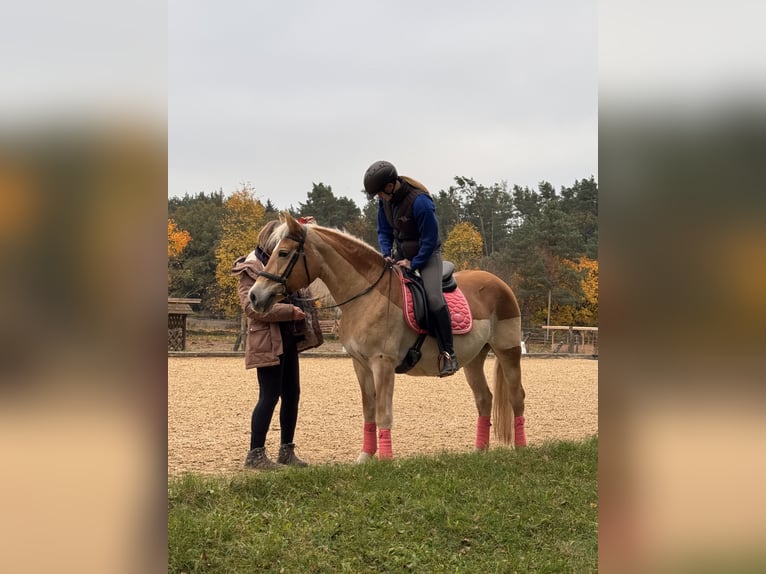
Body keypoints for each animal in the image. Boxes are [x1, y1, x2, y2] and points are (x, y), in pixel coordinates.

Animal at [249, 213, 524, 464]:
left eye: (283, 253)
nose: (254, 296)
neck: (366, 295)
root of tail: (500, 283)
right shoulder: (360, 365)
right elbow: (369, 411)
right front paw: (365, 457)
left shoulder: (383, 363)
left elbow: (383, 413)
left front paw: (385, 460)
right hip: (474, 359)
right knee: (484, 399)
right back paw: (480, 451)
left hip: (508, 351)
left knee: (516, 397)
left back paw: (522, 448)